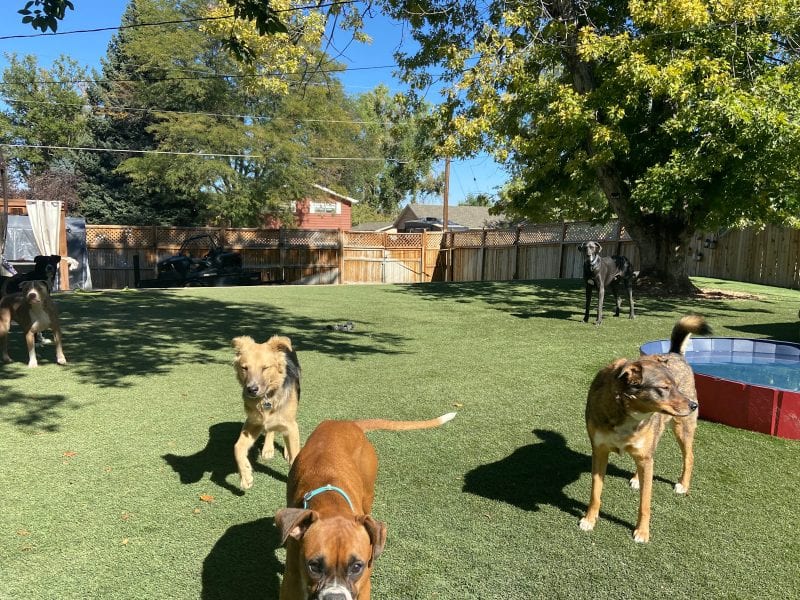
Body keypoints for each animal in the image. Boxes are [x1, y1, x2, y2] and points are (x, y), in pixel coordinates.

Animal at [234, 336, 304, 490]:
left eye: (265, 368)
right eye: (244, 368)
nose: (251, 389)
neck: (267, 397)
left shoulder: (291, 424)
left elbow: (295, 454)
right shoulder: (253, 423)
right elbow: (237, 447)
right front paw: (246, 476)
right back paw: (268, 449)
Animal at [276, 412, 456, 600]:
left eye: (357, 567)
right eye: (314, 566)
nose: (335, 597)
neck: (331, 503)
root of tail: (347, 423)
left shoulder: (364, 588)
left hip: (368, 493)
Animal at [580, 316, 708, 540]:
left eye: (676, 386)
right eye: (664, 388)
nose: (693, 405)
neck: (626, 412)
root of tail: (674, 353)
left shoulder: (645, 457)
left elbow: (645, 503)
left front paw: (642, 532)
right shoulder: (599, 452)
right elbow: (595, 492)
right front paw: (589, 520)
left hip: (682, 429)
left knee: (689, 457)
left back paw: (683, 485)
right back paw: (636, 478)